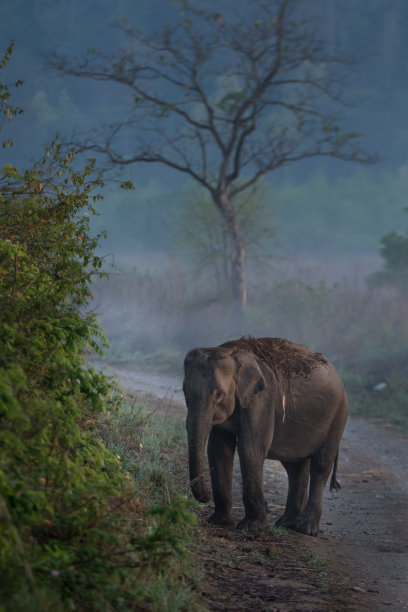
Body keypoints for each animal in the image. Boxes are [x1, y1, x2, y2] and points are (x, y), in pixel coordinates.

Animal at [183, 338, 350, 536]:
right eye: (184, 391)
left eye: (219, 394)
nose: (206, 496)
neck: (232, 352)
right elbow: (218, 450)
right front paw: (220, 522)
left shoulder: (262, 399)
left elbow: (251, 449)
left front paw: (252, 529)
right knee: (295, 467)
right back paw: (286, 524)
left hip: (338, 416)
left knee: (320, 465)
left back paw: (307, 530)